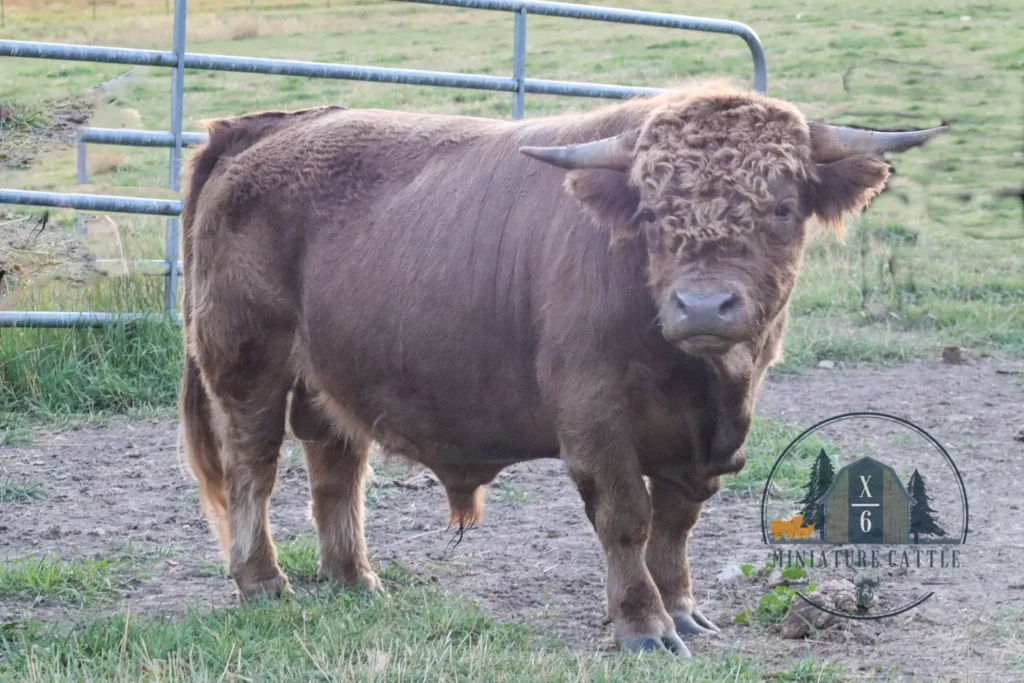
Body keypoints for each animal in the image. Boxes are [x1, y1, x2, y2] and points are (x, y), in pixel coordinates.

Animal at [178, 79, 944, 656]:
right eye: (651, 210)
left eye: (783, 207)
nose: (702, 305)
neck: (702, 384)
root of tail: (262, 129)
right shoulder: (593, 415)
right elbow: (627, 518)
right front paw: (644, 626)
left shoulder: (698, 443)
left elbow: (676, 524)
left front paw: (684, 610)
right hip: (248, 367)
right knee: (253, 469)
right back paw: (262, 581)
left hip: (329, 378)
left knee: (335, 471)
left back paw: (356, 579)